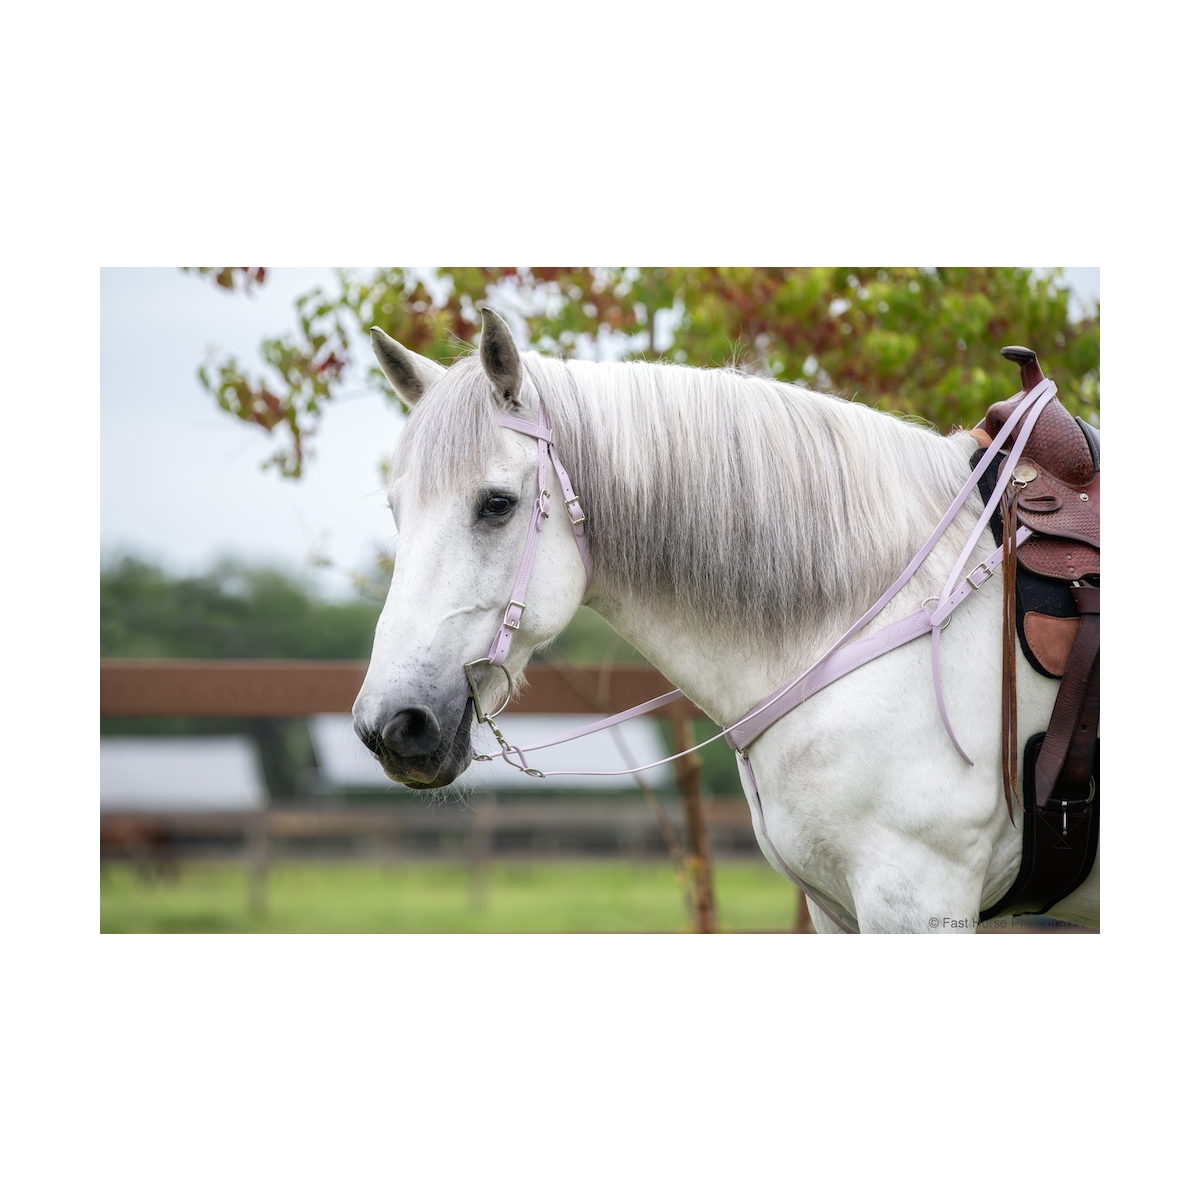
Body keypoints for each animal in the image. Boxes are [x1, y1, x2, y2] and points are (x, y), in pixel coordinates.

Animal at [352, 314, 1099, 931]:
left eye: (497, 504)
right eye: (395, 508)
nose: (393, 725)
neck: (885, 602)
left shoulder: (917, 895)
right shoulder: (840, 910)